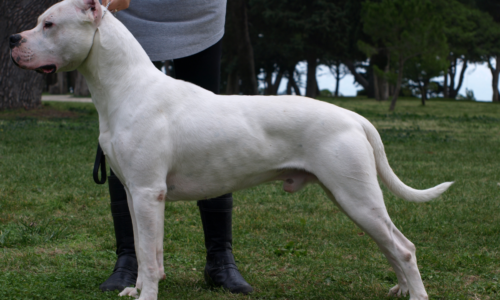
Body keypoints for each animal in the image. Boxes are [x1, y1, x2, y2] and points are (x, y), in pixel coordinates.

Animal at [8, 1, 454, 298]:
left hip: (356, 195)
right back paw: (400, 289)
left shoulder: (149, 193)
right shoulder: (136, 194)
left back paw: (416, 293)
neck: (126, 86)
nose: (12, 38)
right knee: (392, 246)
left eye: (49, 24)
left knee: (403, 248)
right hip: (350, 196)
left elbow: (149, 257)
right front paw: (136, 289)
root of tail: (353, 116)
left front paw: (147, 293)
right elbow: (145, 248)